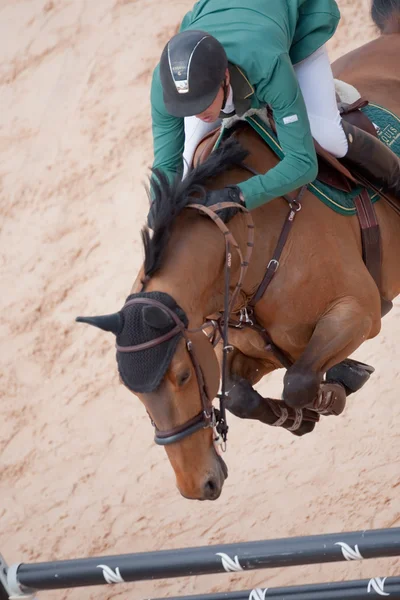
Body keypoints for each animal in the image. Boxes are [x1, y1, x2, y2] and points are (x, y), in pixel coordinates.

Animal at [76, 2, 400, 502]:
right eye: (134, 395)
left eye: (182, 376)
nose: (198, 486)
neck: (246, 254)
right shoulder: (253, 347)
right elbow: (240, 394)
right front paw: (301, 416)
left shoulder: (359, 311)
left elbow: (299, 379)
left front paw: (333, 391)